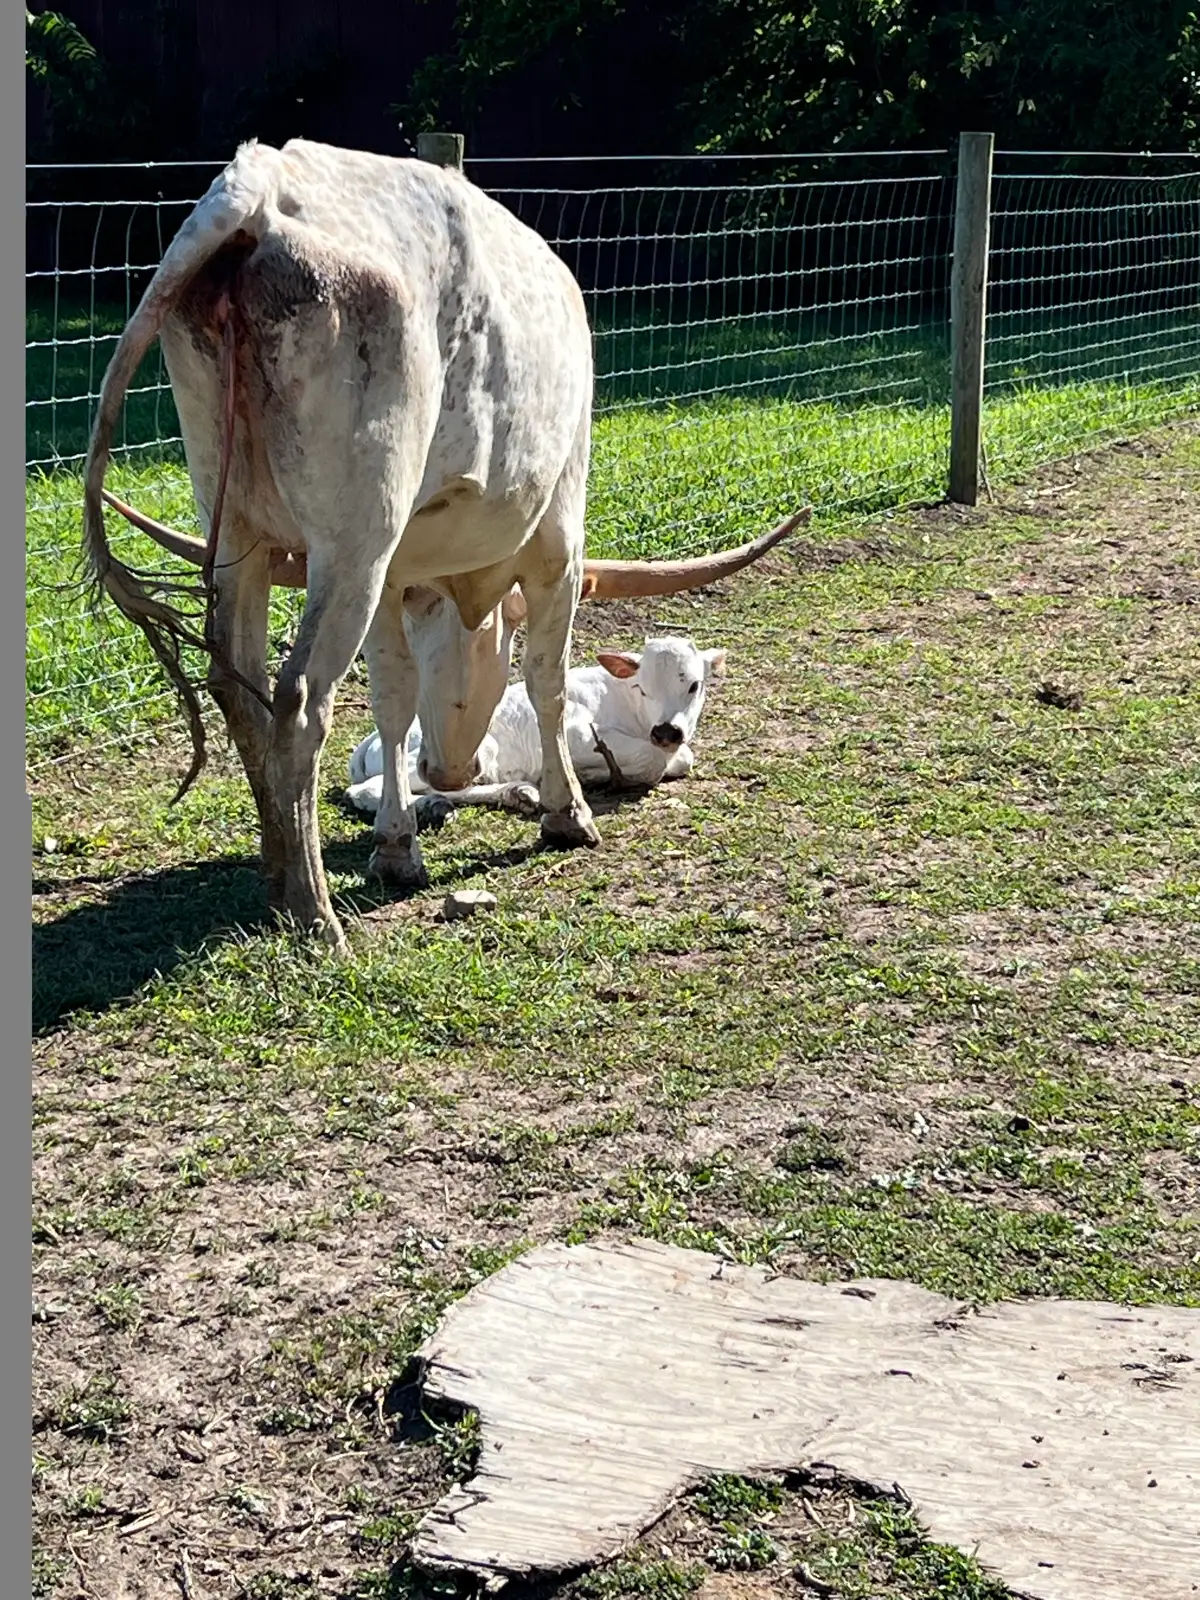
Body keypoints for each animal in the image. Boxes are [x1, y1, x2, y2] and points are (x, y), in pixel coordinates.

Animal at [343, 634, 729, 824]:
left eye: (694, 685)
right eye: (643, 688)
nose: (666, 731)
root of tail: (370, 741)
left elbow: (681, 756)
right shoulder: (576, 730)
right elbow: (658, 759)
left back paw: (517, 793)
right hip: (467, 751)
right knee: (367, 791)